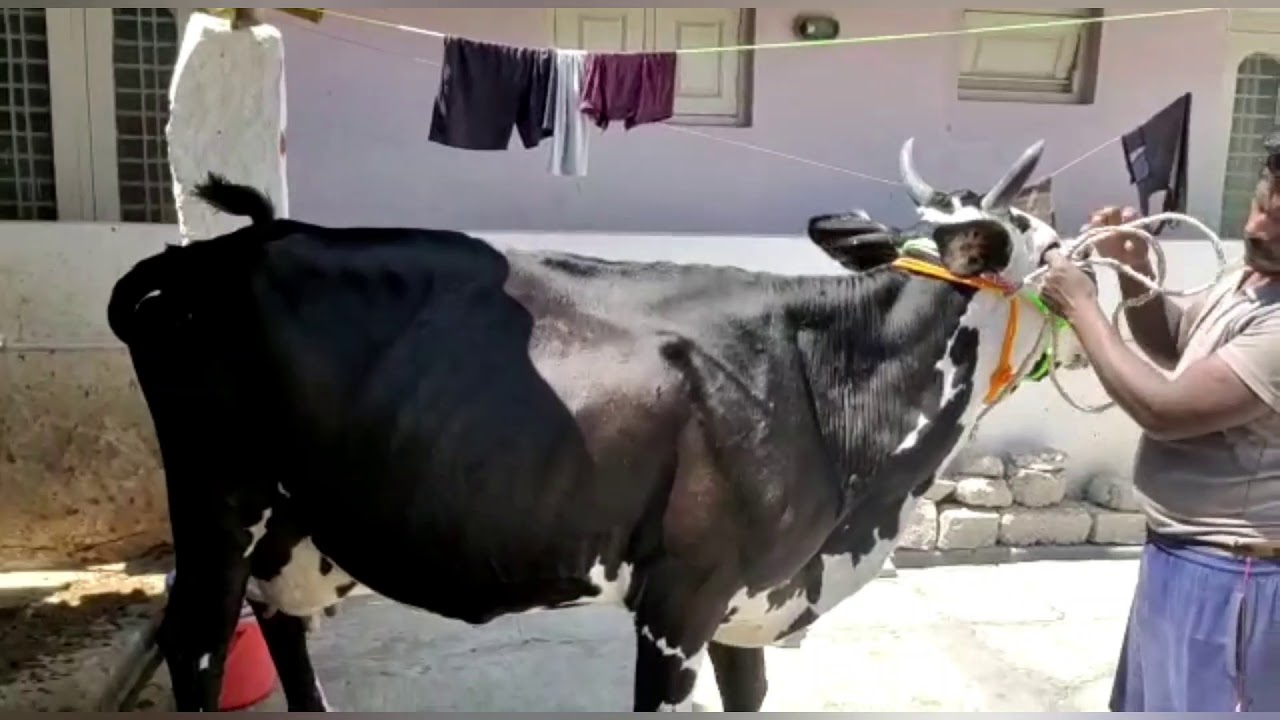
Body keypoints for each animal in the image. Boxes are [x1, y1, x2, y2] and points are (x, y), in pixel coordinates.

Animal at [107, 137, 1082, 713]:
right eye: (1053, 255)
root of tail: (207, 254)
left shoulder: (747, 603)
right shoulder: (680, 600)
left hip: (296, 525)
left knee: (283, 625)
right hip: (217, 503)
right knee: (194, 644)